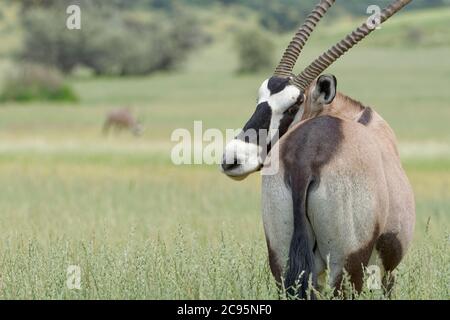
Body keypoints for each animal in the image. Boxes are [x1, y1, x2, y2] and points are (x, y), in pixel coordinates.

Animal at [221, 0, 414, 298]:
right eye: (260, 99)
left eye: (292, 106)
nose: (233, 158)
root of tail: (304, 161)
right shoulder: (389, 270)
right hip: (346, 265)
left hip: (281, 258)